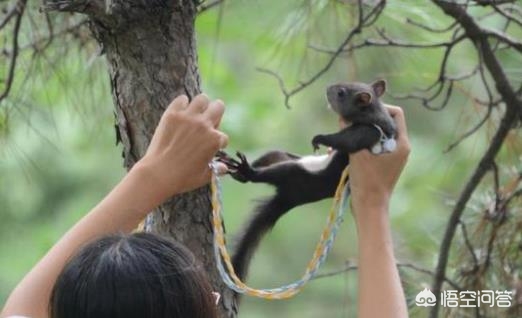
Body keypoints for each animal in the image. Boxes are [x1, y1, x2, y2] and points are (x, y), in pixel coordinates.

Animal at [215, 79, 394, 280]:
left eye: (341, 92)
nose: (328, 87)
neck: (374, 113)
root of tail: (289, 198)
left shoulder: (367, 133)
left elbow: (346, 140)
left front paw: (320, 138)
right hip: (282, 157)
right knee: (270, 157)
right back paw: (233, 166)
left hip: (294, 173)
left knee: (265, 175)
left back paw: (246, 171)